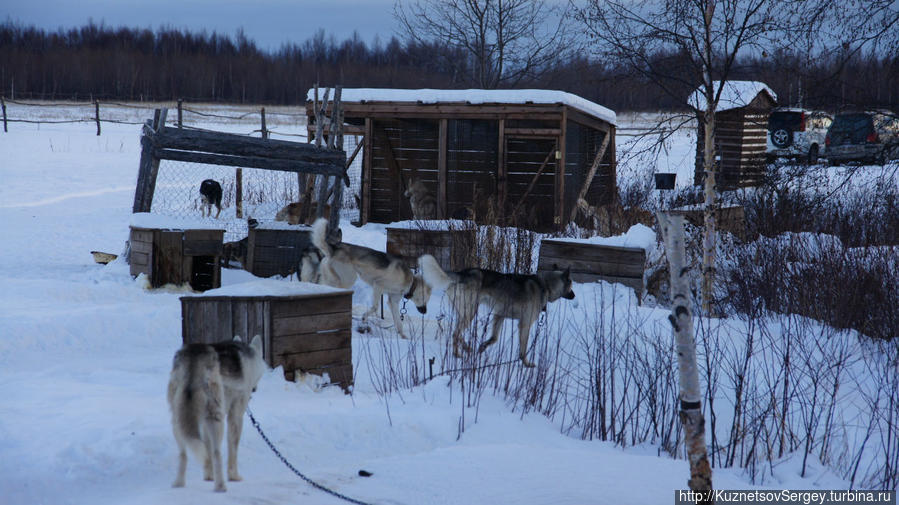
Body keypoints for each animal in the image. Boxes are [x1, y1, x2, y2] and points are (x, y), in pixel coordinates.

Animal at [169, 336, 266, 490]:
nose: (255, 389)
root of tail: (196, 354)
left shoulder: (203, 424)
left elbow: (206, 452)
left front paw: (209, 476)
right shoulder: (235, 416)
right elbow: (232, 450)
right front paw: (234, 476)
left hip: (179, 421)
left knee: (183, 454)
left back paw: (179, 484)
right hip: (217, 419)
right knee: (217, 453)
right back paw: (220, 486)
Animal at [418, 256, 572, 366]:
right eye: (571, 285)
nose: (574, 295)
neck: (545, 285)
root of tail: (463, 273)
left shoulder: (499, 315)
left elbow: (494, 338)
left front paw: (482, 347)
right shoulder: (524, 324)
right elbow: (523, 350)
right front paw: (526, 364)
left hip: (464, 313)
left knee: (457, 333)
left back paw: (466, 348)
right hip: (470, 312)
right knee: (456, 334)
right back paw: (458, 354)